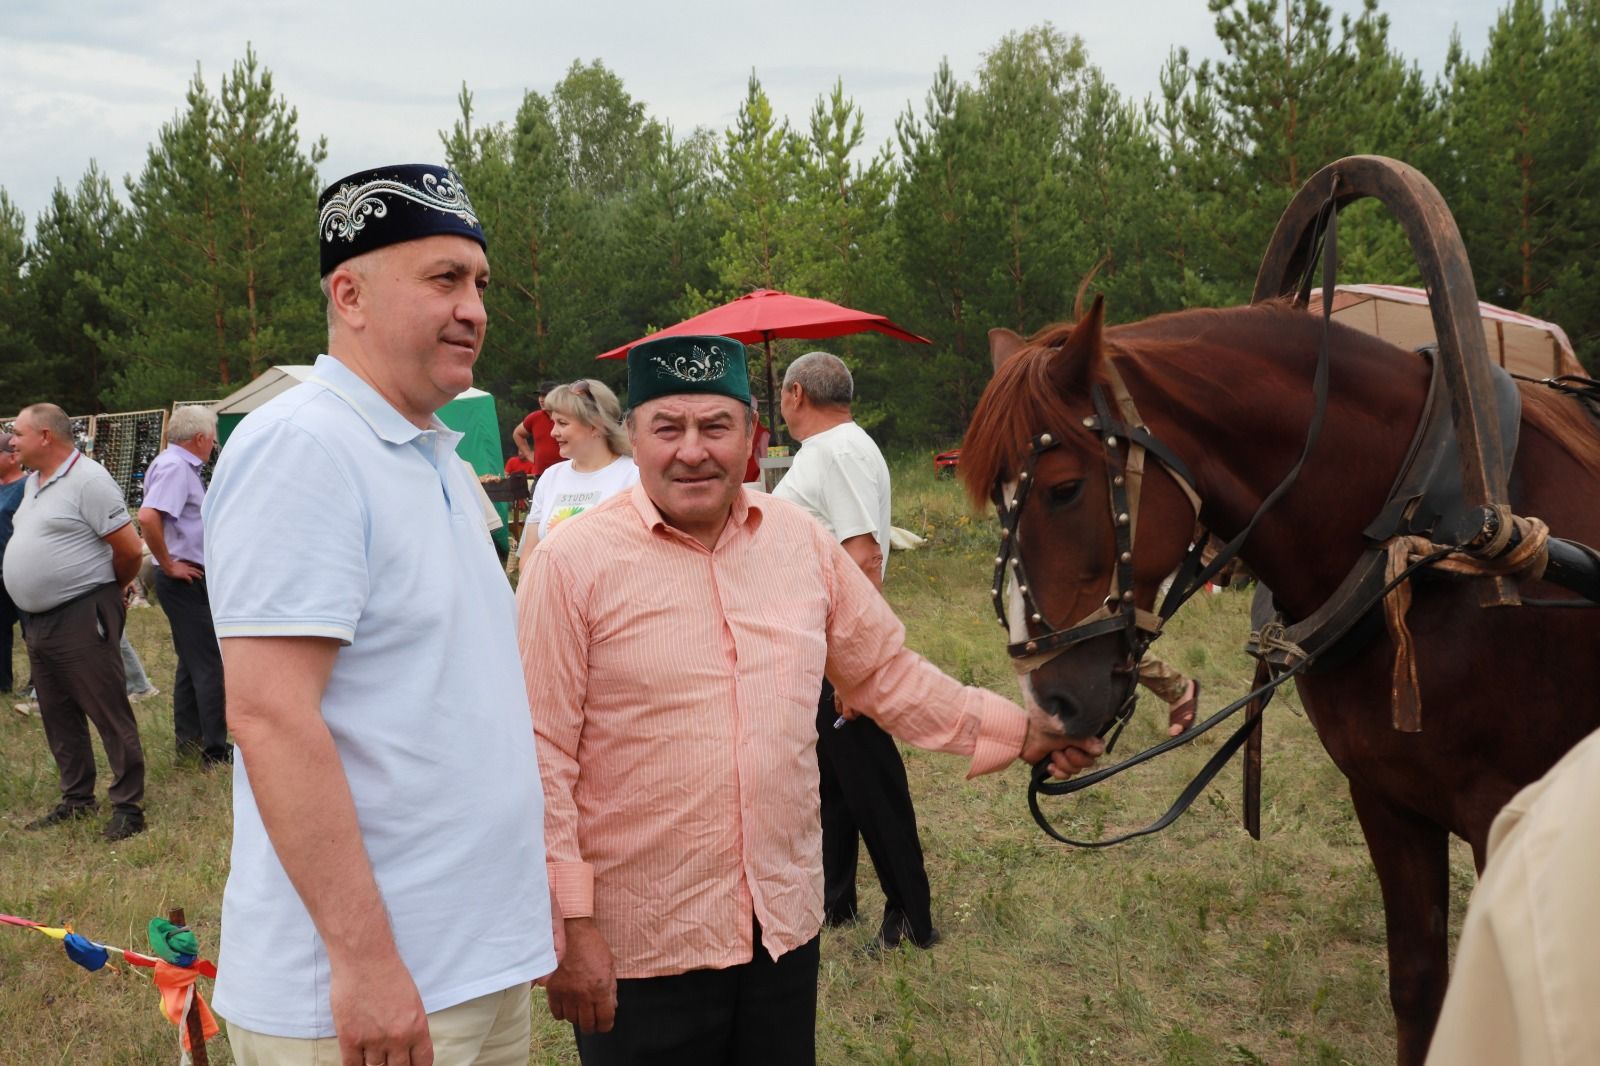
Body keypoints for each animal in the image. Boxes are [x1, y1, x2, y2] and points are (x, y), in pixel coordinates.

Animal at [960, 294, 1600, 1056]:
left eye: (1063, 489)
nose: (1047, 702)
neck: (1429, 538)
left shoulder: (1506, 816)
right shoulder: (1387, 798)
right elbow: (1418, 986)